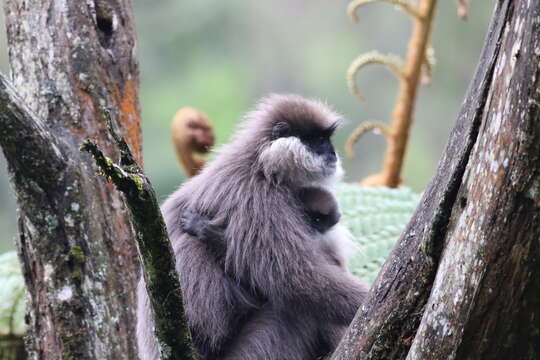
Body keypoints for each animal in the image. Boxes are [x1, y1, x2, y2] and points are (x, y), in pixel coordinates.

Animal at [137, 93, 370, 360]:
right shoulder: (258, 198)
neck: (262, 164)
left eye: (327, 139)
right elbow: (295, 280)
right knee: (295, 309)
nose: (332, 153)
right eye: (320, 140)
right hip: (254, 351)